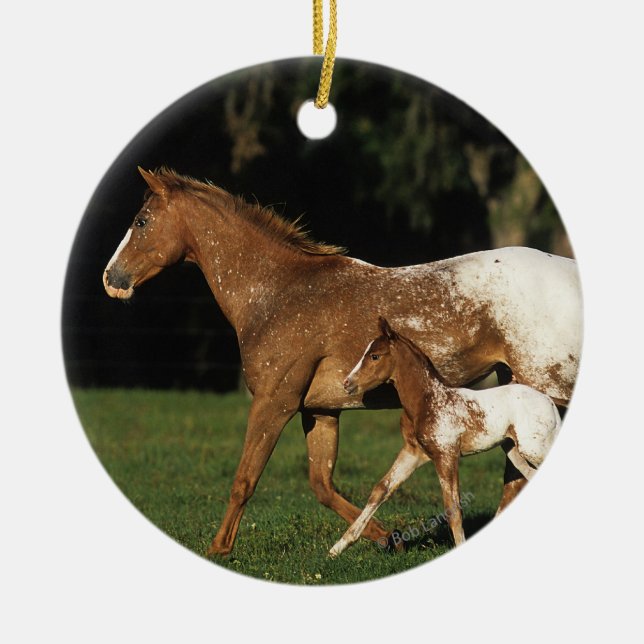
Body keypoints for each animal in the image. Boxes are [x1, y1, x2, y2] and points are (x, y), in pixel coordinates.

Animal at [329, 318, 562, 557]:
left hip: (533, 448)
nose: (347, 383)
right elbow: (381, 489)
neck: (428, 400)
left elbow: (453, 508)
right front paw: (338, 547)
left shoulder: (446, 455)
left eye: (375, 356)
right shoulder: (413, 453)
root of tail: (549, 400)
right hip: (515, 451)